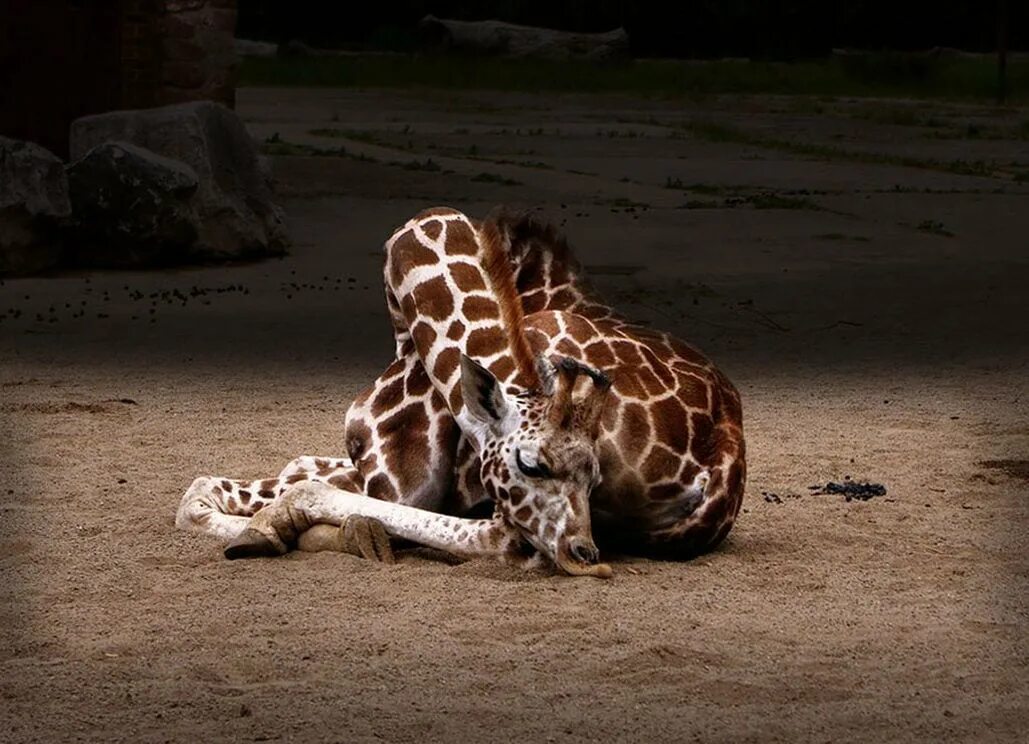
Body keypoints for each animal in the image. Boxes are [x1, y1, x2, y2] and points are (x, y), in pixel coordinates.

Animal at [172, 206, 744, 580]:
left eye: (594, 473)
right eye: (533, 464)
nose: (584, 552)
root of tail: (723, 461)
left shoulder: (396, 474)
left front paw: (271, 527)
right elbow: (272, 471)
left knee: (497, 539)